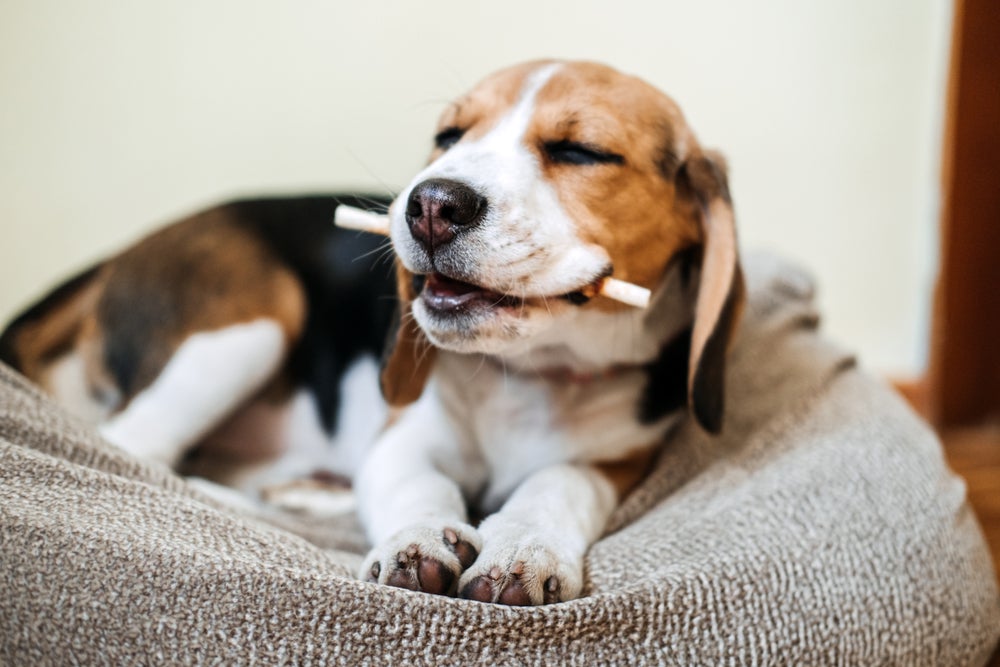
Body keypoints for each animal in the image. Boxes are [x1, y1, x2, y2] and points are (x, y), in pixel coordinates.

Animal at [360, 61, 744, 604]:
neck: (532, 372)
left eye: (580, 151)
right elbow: (417, 481)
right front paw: (418, 537)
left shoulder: (620, 457)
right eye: (449, 137)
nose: (432, 204)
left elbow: (559, 480)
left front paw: (524, 544)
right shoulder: (400, 436)